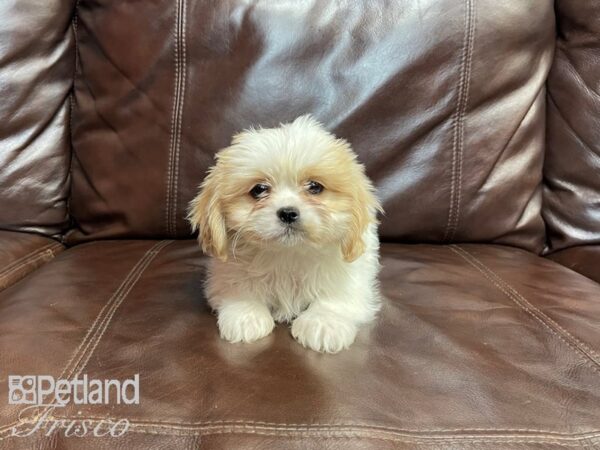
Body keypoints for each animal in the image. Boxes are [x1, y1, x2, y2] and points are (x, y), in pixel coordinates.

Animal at [189, 114, 384, 354]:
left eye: (315, 187)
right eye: (259, 190)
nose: (288, 213)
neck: (289, 254)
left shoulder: (351, 275)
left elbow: (337, 296)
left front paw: (324, 323)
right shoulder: (227, 271)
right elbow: (240, 287)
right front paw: (246, 316)